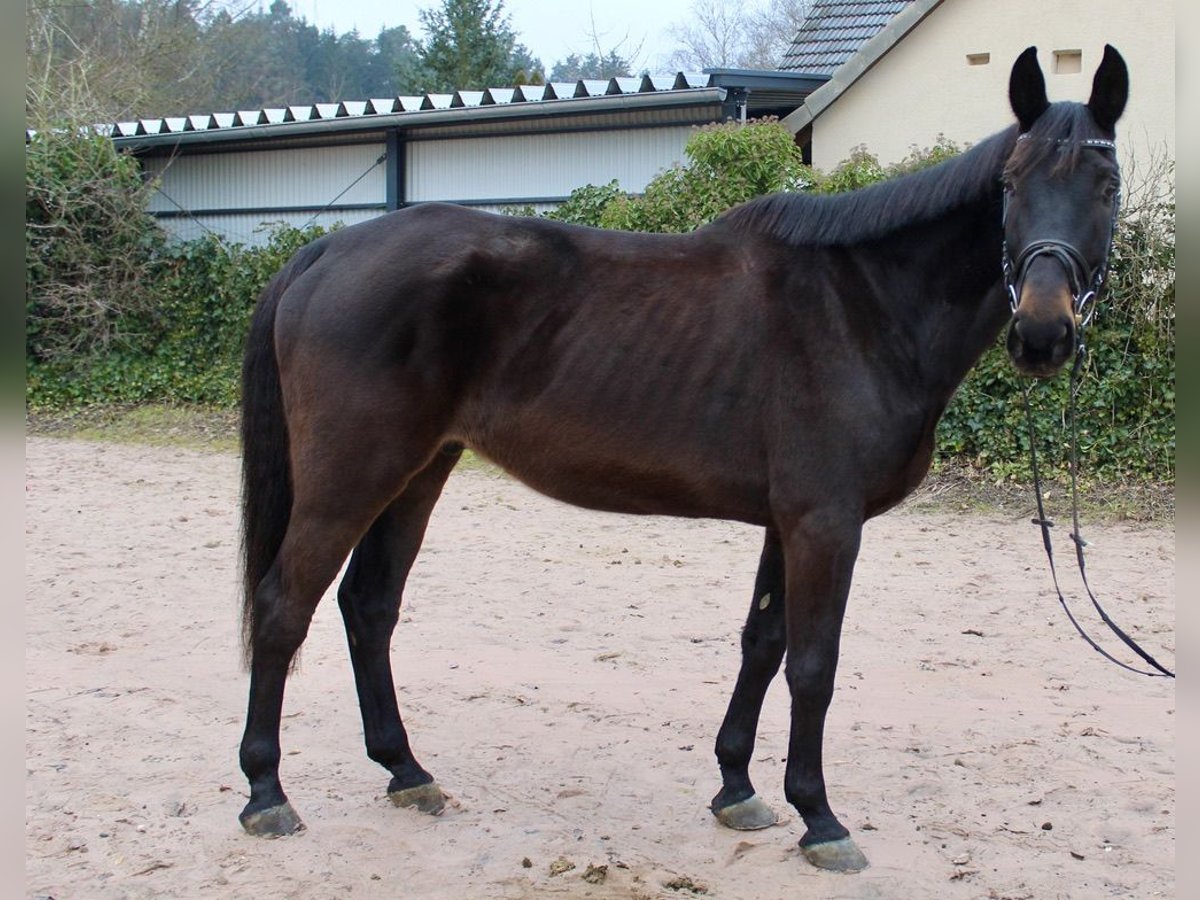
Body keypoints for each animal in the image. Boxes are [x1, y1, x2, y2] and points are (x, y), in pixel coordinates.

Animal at [238, 47, 1128, 873]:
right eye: (1010, 186)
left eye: (1107, 186)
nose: (1042, 334)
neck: (865, 306)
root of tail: (326, 251)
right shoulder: (826, 523)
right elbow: (813, 664)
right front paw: (820, 818)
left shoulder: (788, 521)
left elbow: (762, 643)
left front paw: (738, 788)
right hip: (352, 476)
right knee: (285, 605)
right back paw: (266, 793)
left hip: (421, 470)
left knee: (369, 606)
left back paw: (406, 771)